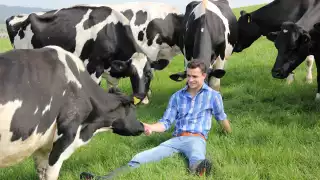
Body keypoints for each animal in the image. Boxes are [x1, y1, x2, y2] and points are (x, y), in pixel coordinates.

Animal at [5, 5, 168, 105]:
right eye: (132, 73)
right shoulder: (94, 66)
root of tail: (16, 16)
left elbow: (113, 89)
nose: (141, 98)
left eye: (149, 74)